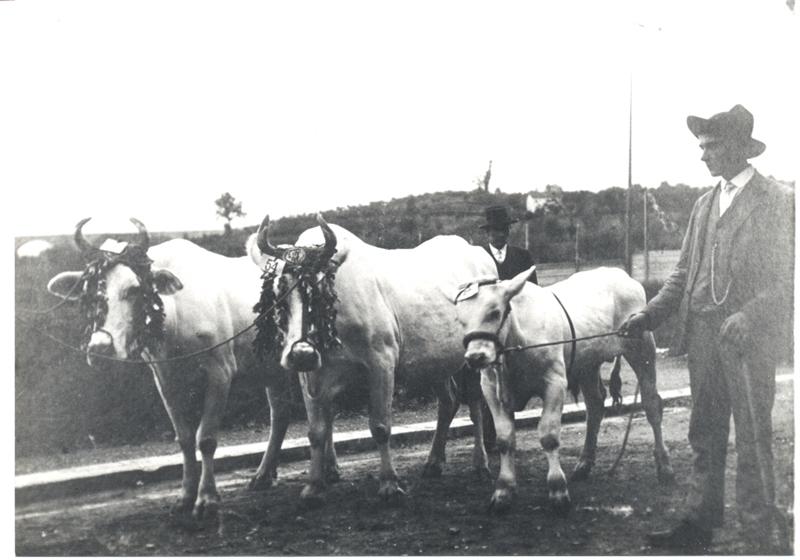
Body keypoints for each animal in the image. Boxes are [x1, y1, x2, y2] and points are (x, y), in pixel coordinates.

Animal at [46, 218, 327, 519]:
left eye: (134, 289)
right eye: (88, 293)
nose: (100, 348)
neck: (176, 314)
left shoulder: (220, 372)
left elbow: (206, 438)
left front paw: (206, 498)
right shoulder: (165, 377)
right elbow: (184, 438)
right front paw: (185, 496)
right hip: (272, 369)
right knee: (281, 414)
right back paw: (268, 475)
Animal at [247, 214, 498, 506]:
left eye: (320, 293)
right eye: (278, 294)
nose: (301, 354)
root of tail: (477, 251)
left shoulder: (382, 364)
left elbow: (380, 427)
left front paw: (389, 483)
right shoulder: (310, 376)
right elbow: (316, 431)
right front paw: (313, 486)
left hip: (475, 358)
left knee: (476, 404)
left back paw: (481, 465)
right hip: (435, 362)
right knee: (448, 401)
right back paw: (433, 462)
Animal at [454, 266, 674, 515]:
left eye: (494, 312)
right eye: (460, 320)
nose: (474, 357)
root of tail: (618, 272)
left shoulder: (555, 382)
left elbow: (549, 436)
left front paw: (558, 489)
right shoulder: (491, 390)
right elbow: (505, 440)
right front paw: (503, 491)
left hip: (642, 347)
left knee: (652, 405)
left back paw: (664, 466)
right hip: (587, 364)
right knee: (595, 408)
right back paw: (583, 465)